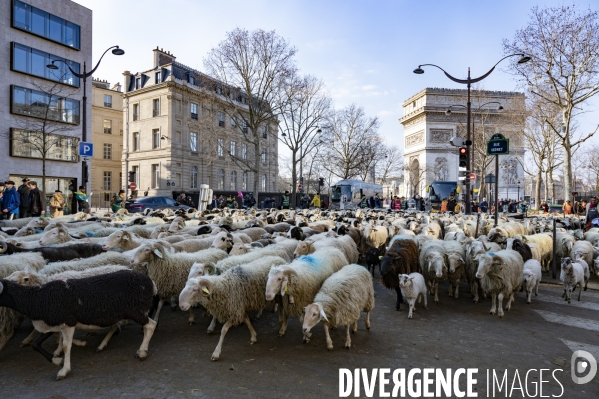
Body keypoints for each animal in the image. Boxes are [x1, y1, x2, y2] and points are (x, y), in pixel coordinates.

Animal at [0, 272, 157, 382]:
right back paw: (108, 346)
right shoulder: (54, 324)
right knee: (129, 326)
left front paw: (63, 370)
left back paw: (142, 352)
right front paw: (58, 359)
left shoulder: (67, 322)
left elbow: (65, 346)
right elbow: (37, 344)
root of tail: (150, 282)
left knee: (151, 325)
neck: (37, 299)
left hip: (136, 311)